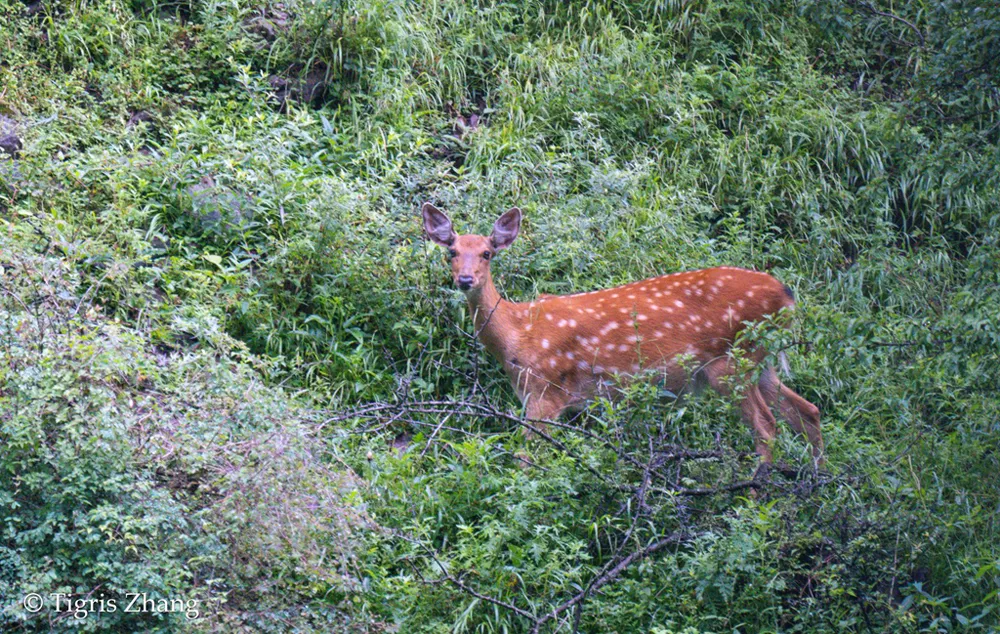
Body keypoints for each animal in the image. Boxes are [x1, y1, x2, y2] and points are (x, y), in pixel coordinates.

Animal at [418, 202, 824, 464]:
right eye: (451, 252)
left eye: (487, 253)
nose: (464, 279)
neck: (519, 334)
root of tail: (787, 295)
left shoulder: (546, 392)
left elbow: (526, 458)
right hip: (760, 360)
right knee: (808, 410)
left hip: (729, 361)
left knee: (766, 426)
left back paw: (755, 501)